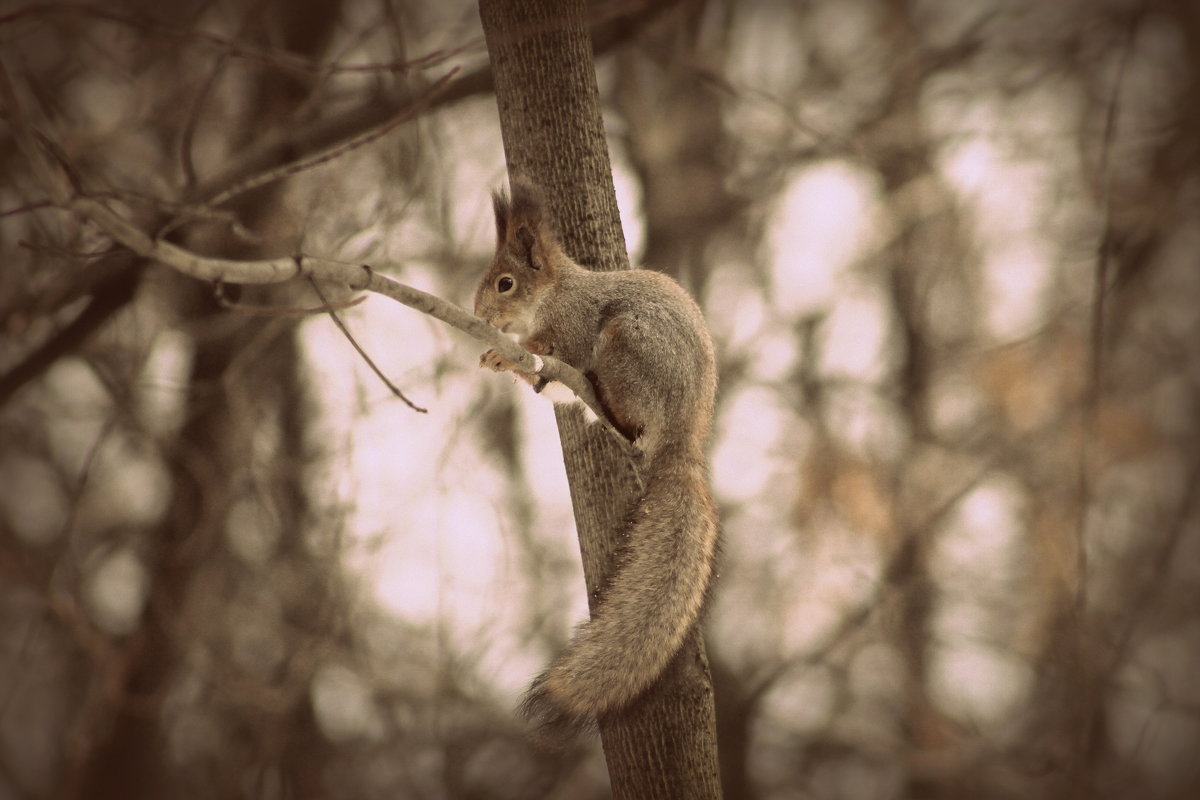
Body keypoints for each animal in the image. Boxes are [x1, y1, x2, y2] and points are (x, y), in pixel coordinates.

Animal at [475, 178, 720, 743]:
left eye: (504, 283)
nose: (479, 318)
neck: (555, 291)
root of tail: (683, 437)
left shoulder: (573, 325)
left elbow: (554, 350)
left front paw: (503, 353)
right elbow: (544, 381)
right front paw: (499, 359)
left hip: (626, 349)